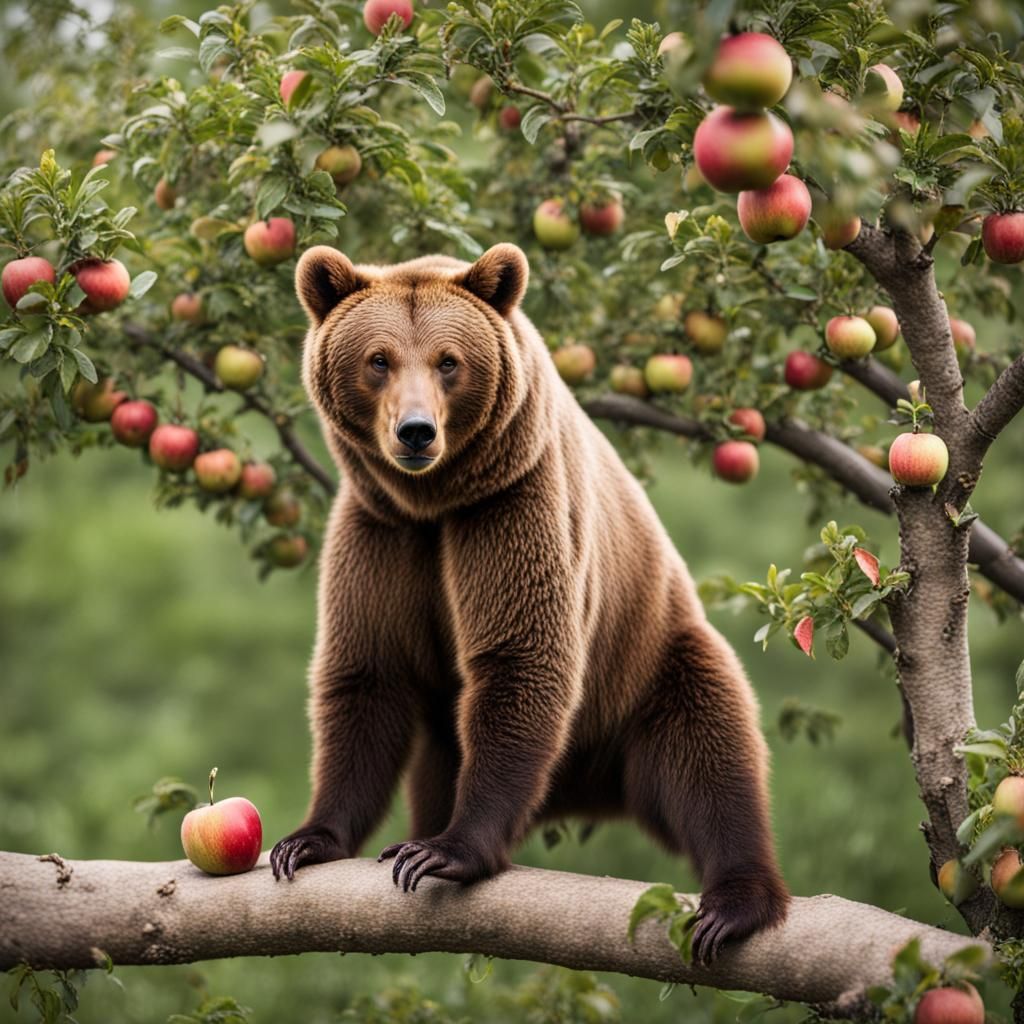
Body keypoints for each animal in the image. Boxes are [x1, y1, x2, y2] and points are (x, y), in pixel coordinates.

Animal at [269, 242, 788, 963]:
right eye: (378, 359)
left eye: (448, 360)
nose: (415, 432)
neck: (436, 501)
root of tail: (588, 790)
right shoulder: (381, 533)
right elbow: (367, 672)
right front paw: (309, 840)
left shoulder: (514, 505)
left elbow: (522, 656)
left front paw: (444, 851)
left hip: (656, 661)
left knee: (714, 754)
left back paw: (735, 903)